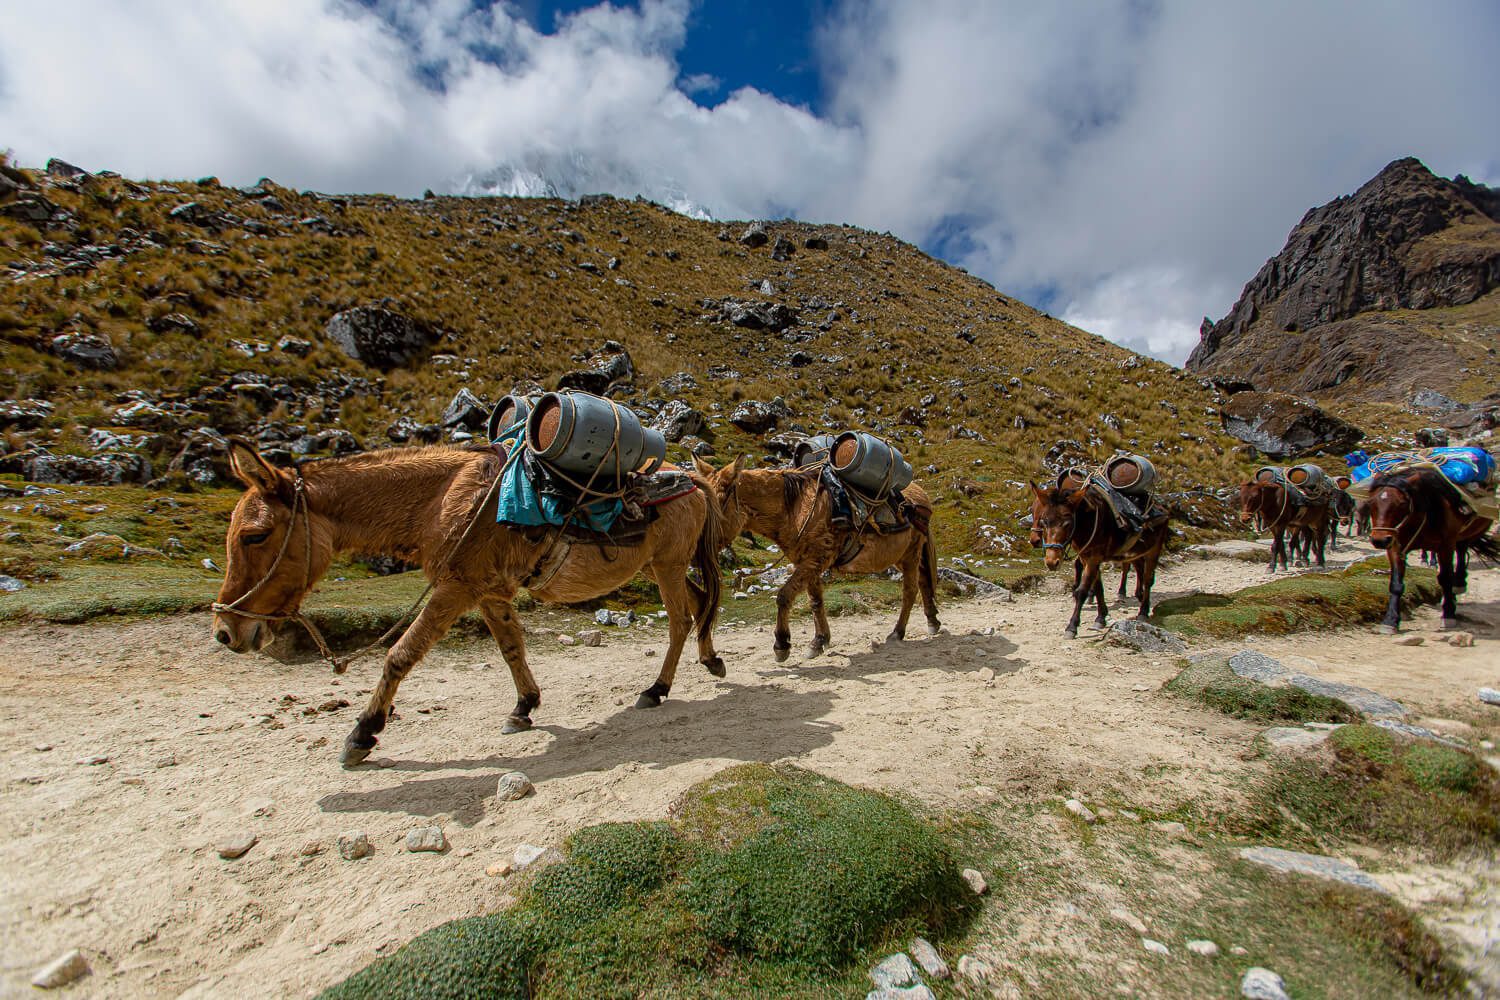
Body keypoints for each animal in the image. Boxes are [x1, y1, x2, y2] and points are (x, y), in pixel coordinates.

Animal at [214, 440, 723, 767]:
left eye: (254, 535)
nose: (226, 632)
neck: (441, 499)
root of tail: (691, 479)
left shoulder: (455, 588)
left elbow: (400, 655)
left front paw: (363, 732)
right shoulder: (489, 592)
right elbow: (511, 648)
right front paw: (524, 707)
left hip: (667, 566)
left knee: (679, 620)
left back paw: (656, 689)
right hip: (659, 567)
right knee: (700, 602)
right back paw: (710, 660)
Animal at [693, 458, 936, 659]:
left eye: (712, 507)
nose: (695, 556)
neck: (794, 508)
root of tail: (922, 495)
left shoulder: (814, 560)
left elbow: (784, 596)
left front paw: (782, 645)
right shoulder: (807, 562)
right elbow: (816, 601)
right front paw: (819, 641)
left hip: (911, 554)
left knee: (910, 590)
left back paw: (898, 632)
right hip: (901, 557)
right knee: (925, 581)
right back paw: (933, 620)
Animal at [1032, 479, 1170, 638]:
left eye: (1067, 523)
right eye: (1044, 522)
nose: (1052, 562)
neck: (1089, 523)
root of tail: (1161, 507)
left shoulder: (1093, 559)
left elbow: (1082, 591)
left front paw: (1072, 627)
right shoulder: (1088, 558)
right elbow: (1098, 588)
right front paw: (1100, 618)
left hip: (1154, 549)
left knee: (1148, 579)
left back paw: (1143, 611)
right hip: (1136, 552)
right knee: (1139, 569)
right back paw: (1138, 596)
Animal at [1368, 467, 1494, 632]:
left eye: (1402, 503)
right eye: (1371, 502)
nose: (1379, 540)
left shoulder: (1446, 546)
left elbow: (1445, 579)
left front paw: (1448, 615)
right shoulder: (1395, 546)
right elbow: (1396, 583)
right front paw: (1390, 621)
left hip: (1469, 534)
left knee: (1461, 551)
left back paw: (1459, 584)